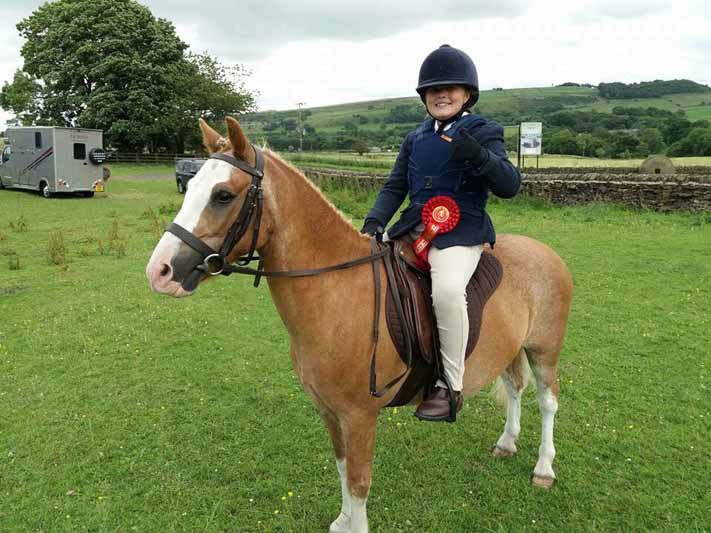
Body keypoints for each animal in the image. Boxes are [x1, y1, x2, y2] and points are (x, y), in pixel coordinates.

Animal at [146, 117, 573, 533]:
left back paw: (544, 468)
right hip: (514, 349)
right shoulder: (329, 410)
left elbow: (359, 480)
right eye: (190, 187)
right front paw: (342, 521)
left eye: (222, 195)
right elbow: (341, 469)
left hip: (544, 350)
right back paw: (507, 443)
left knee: (547, 402)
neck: (337, 293)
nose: (159, 271)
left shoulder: (359, 416)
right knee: (514, 388)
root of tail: (545, 252)